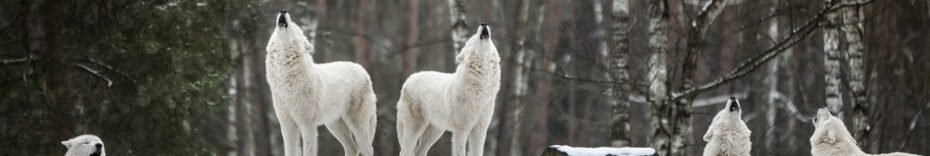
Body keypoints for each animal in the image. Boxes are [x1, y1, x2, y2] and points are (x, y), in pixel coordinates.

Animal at [262, 10, 376, 156]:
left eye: (294, 27)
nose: (283, 11)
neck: (285, 81)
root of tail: (363, 71)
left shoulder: (307, 125)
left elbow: (308, 151)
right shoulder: (287, 126)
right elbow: (289, 152)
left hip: (356, 124)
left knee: (367, 148)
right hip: (334, 125)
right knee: (353, 148)